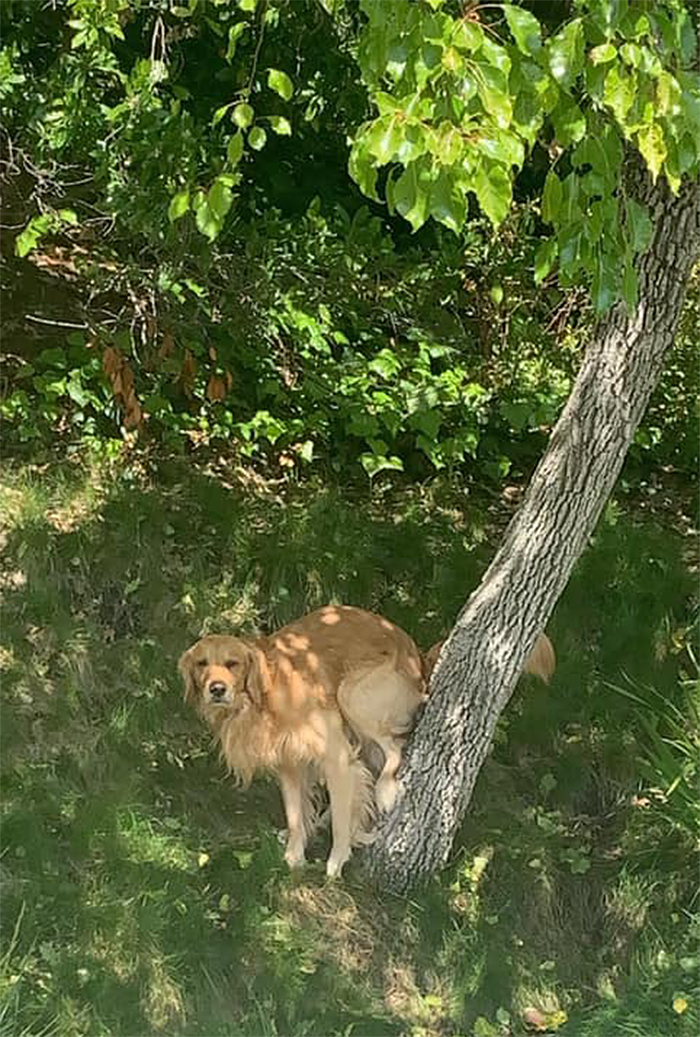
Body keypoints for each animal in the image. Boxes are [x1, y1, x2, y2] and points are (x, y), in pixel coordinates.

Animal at [180, 605, 560, 879]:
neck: (267, 693)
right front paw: (294, 853)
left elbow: (342, 815)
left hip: (353, 693)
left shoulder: (335, 755)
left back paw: (385, 791)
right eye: (202, 664)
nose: (216, 689)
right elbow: (295, 812)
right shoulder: (289, 764)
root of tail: (418, 656)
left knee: (394, 750)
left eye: (232, 663)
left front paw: (336, 862)